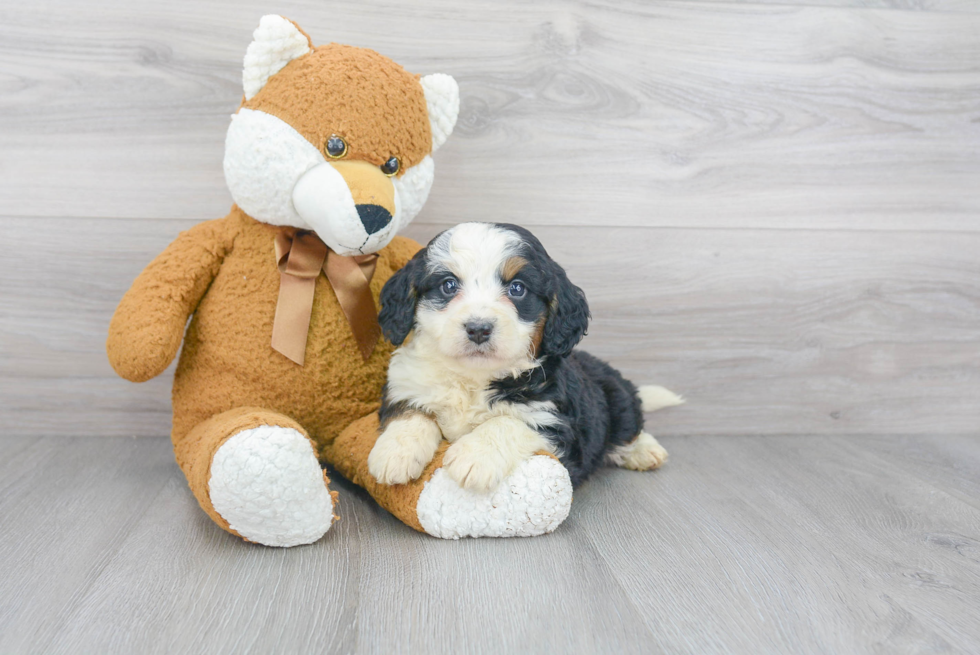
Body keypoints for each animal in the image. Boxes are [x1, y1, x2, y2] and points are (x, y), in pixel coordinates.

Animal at [366, 223, 680, 494]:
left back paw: (645, 451)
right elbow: (410, 412)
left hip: (617, 398)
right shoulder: (405, 386)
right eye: (448, 285)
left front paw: (474, 456)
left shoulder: (555, 420)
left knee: (630, 426)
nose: (478, 328)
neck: (473, 378)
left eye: (517, 288)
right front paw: (395, 452)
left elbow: (509, 422)